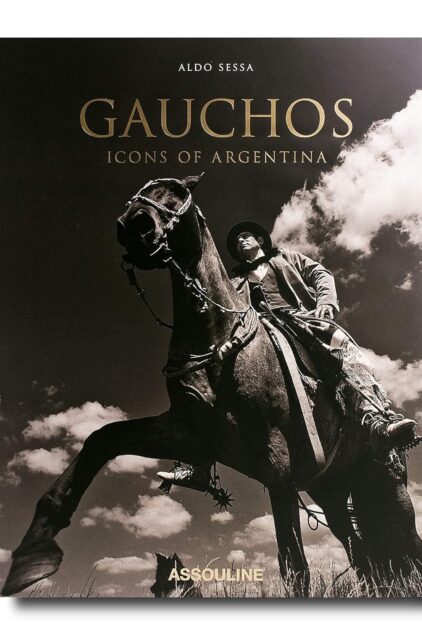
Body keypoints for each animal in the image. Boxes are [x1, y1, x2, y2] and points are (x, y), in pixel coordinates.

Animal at [2, 174, 421, 597]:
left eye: (178, 190)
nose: (134, 225)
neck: (219, 339)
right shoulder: (191, 435)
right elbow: (100, 439)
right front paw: (33, 553)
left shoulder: (277, 463)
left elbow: (294, 564)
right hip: (333, 490)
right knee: (361, 551)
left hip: (389, 483)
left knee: (406, 543)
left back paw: (388, 426)